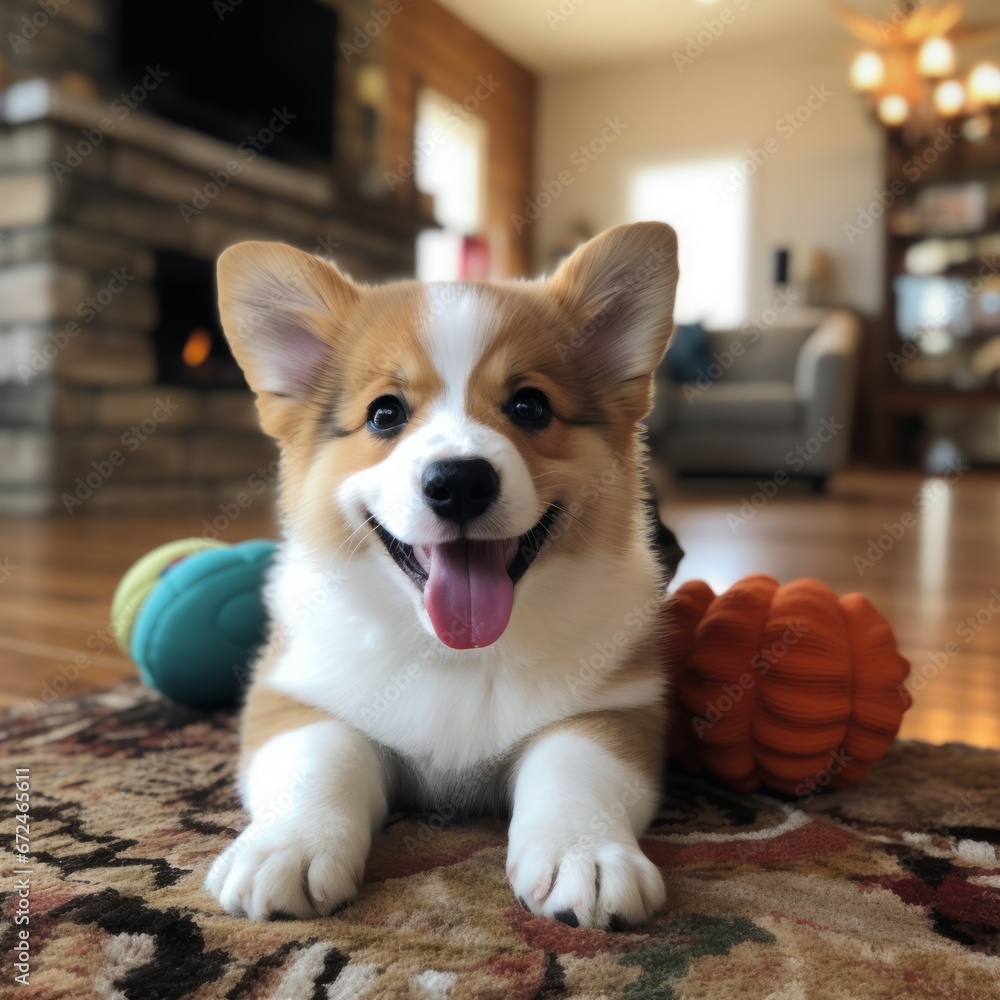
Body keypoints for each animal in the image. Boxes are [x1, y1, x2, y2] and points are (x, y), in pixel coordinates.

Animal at [208, 221, 684, 928]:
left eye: (530, 405)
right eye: (384, 414)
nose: (459, 482)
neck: (455, 654)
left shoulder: (616, 709)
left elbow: (576, 766)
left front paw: (585, 854)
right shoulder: (294, 694)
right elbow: (320, 757)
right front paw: (287, 847)